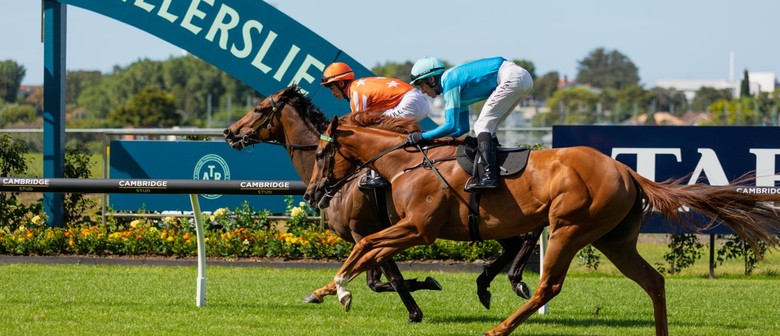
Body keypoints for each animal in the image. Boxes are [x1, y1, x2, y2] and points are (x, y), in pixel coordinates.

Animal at [221, 84, 536, 320]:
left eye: (259, 108)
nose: (229, 132)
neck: (345, 180)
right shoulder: (370, 232)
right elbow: (373, 278)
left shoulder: (365, 230)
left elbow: (385, 275)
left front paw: (416, 307)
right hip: (484, 222)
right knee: (515, 243)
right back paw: (492, 284)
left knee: (526, 238)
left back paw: (513, 280)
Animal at [308, 115, 780, 336]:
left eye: (320, 153)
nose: (313, 192)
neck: (404, 164)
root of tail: (628, 172)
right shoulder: (408, 228)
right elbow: (368, 249)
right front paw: (326, 290)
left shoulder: (418, 228)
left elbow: (365, 245)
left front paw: (340, 289)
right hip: (614, 241)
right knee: (654, 281)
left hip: (569, 228)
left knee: (548, 285)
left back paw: (499, 326)